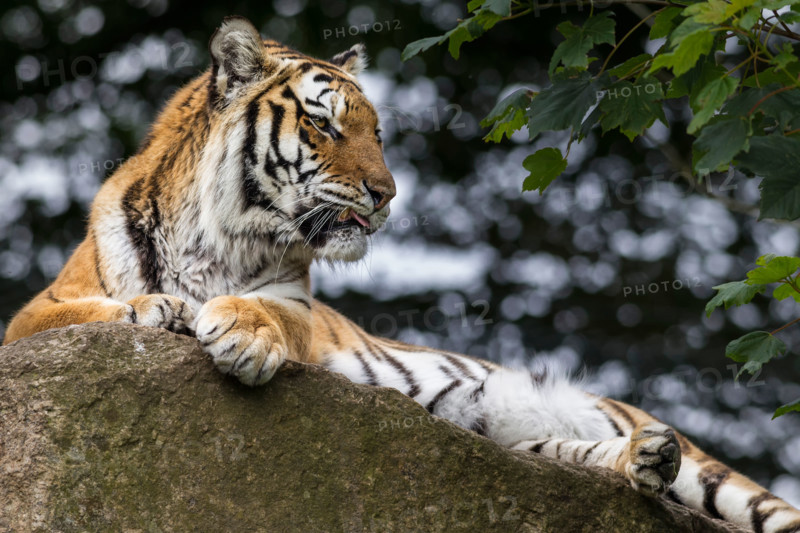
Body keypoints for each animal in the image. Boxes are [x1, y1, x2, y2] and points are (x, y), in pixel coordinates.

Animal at [3, 15, 799, 532]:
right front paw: (157, 308)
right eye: (325, 124)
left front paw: (242, 336)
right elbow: (81, 312)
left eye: (378, 132)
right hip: (519, 444)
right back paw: (645, 462)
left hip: (706, 473)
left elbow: (268, 314)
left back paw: (657, 455)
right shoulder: (35, 312)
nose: (387, 194)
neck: (217, 232)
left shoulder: (296, 305)